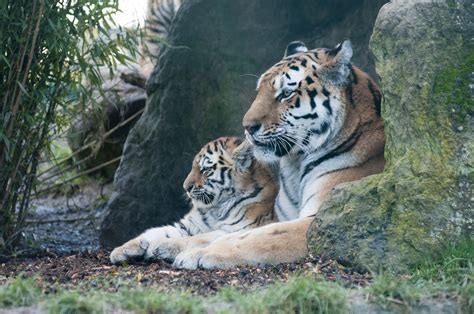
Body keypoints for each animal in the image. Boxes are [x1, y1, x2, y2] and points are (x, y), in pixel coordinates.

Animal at [109, 136, 276, 264]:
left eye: (205, 170)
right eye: (193, 167)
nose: (185, 187)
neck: (215, 208)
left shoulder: (240, 228)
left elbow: (199, 238)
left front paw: (164, 246)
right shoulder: (186, 226)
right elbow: (155, 231)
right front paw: (122, 249)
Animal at [173, 40, 386, 268]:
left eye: (285, 94)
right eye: (259, 91)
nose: (247, 126)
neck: (296, 163)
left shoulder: (319, 220)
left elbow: (259, 238)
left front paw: (199, 254)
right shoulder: (279, 216)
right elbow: (222, 233)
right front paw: (169, 244)